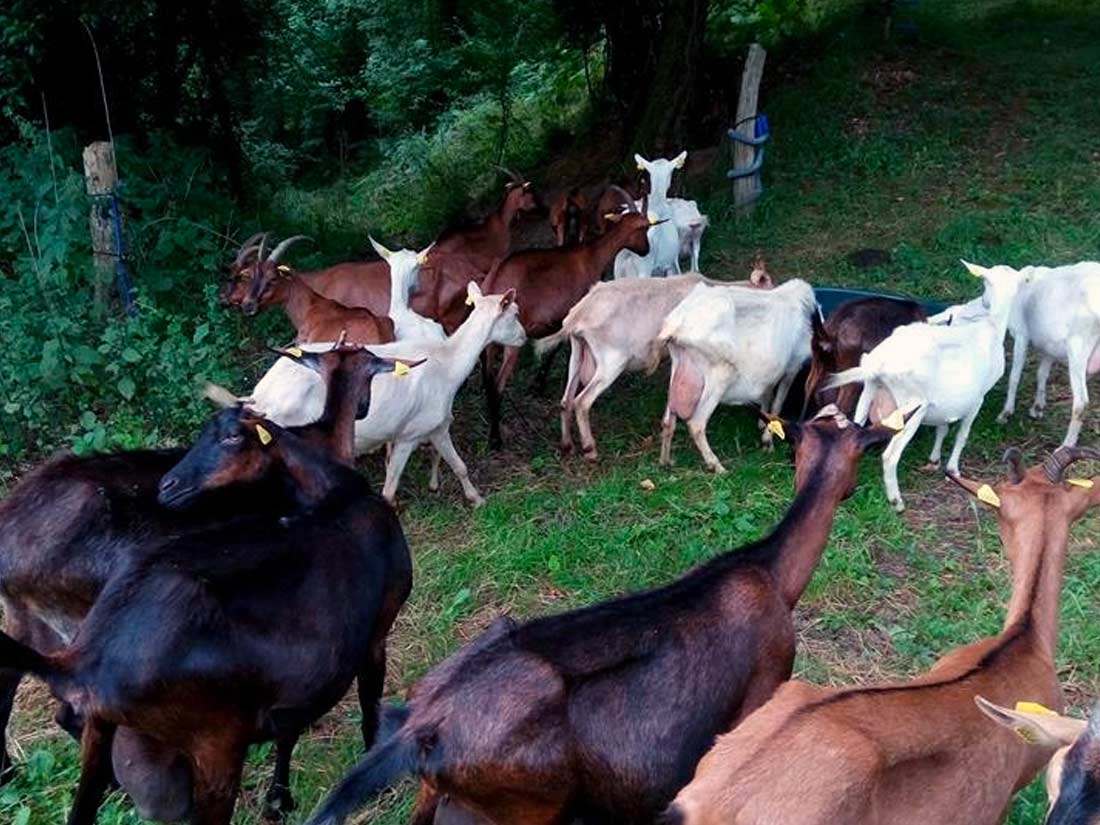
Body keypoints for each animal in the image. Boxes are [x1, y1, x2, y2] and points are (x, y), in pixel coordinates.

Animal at [250, 282, 526, 506]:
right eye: (515, 313)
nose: (524, 338)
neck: (449, 365)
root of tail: (260, 396)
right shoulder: (412, 432)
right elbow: (392, 487)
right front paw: (478, 499)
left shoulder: (433, 427)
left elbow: (457, 466)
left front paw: (469, 496)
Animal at [479, 208, 660, 448]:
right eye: (644, 228)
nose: (646, 250)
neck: (592, 255)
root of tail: (494, 279)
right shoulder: (571, 316)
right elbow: (556, 350)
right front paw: (540, 384)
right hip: (512, 340)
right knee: (497, 385)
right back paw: (496, 439)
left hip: (488, 341)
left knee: (488, 380)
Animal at [534, 259, 773, 460]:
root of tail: (577, 316)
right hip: (611, 361)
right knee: (582, 402)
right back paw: (590, 450)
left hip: (577, 353)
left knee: (565, 400)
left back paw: (567, 445)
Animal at [657, 278, 817, 472]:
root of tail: (677, 326)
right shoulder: (792, 366)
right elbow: (778, 404)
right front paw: (768, 441)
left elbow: (768, 394)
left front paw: (762, 425)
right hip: (720, 374)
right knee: (696, 424)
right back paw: (718, 467)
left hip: (680, 370)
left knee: (668, 420)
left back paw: (666, 461)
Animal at [825, 260, 1031, 511]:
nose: (983, 301)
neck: (991, 327)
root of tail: (878, 363)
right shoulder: (978, 398)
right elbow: (963, 434)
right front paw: (953, 470)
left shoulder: (945, 402)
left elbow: (943, 428)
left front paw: (934, 460)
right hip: (912, 407)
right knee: (890, 455)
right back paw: (897, 502)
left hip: (869, 390)